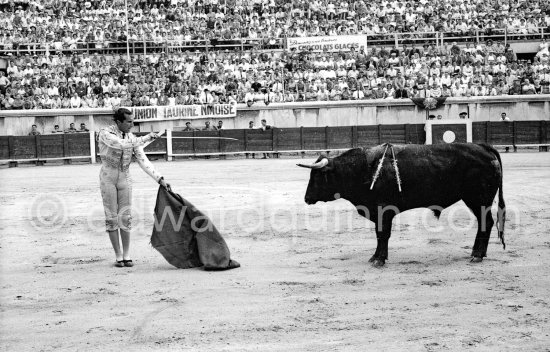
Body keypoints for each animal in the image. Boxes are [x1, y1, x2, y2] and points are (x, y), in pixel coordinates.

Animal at [300, 143, 506, 266]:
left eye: (317, 176)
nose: (306, 198)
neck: (362, 169)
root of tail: (484, 147)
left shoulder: (384, 211)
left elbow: (382, 234)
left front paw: (379, 259)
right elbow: (379, 235)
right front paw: (375, 257)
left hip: (478, 199)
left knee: (486, 223)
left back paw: (477, 255)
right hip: (475, 200)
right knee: (484, 224)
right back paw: (476, 253)